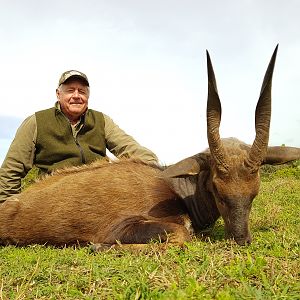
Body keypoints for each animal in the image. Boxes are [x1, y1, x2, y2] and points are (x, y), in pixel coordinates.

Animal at [0, 45, 298, 248]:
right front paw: (98, 247)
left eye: (254, 193)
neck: (174, 190)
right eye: (217, 190)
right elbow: (182, 233)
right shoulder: (125, 227)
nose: (242, 239)